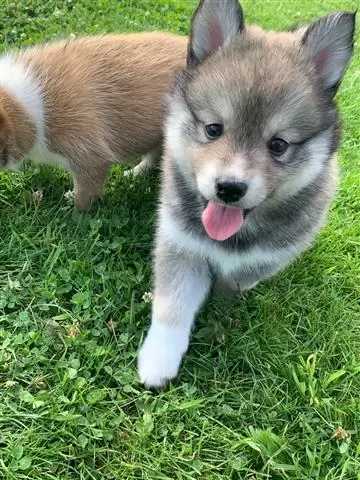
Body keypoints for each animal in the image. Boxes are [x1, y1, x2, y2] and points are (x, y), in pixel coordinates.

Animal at [137, 0, 354, 386]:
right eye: (213, 129)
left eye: (278, 145)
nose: (230, 187)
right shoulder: (180, 245)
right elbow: (172, 306)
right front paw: (158, 361)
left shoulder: (271, 255)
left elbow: (237, 280)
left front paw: (222, 299)